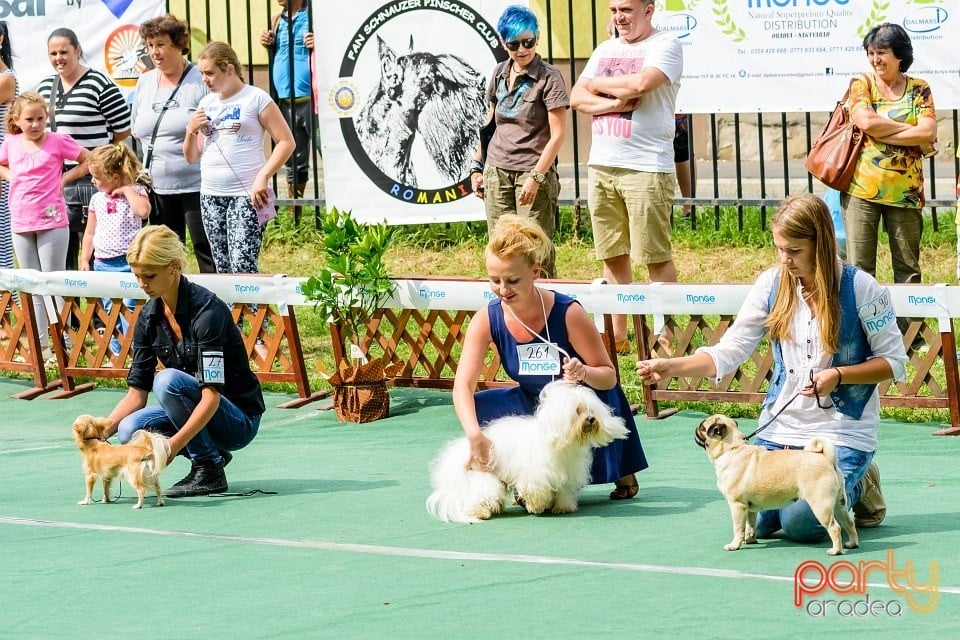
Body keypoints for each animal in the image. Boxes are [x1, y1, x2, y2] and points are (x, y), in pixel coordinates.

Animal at [428, 382, 632, 524]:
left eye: (591, 409)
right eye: (577, 410)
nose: (590, 419)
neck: (561, 442)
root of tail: (463, 449)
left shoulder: (566, 473)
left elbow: (563, 491)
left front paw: (562, 507)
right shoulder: (536, 475)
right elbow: (536, 491)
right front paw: (537, 507)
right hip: (484, 477)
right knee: (477, 495)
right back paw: (481, 512)